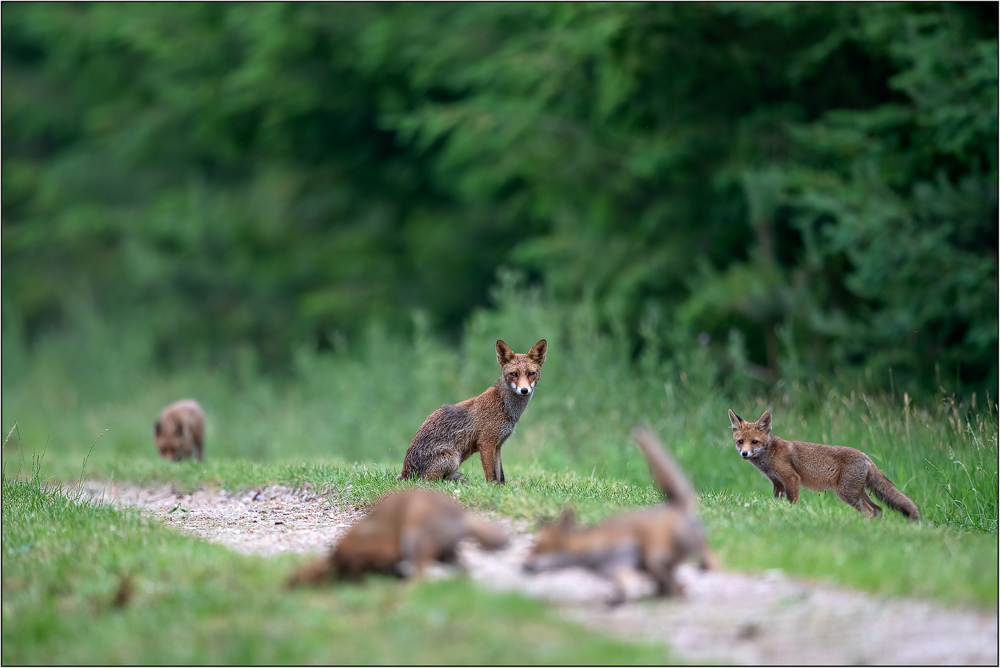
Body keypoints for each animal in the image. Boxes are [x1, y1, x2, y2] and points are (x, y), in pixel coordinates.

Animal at [288, 488, 508, 588]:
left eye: (293, 581)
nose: (283, 589)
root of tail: (461, 515)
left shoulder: (374, 555)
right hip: (445, 554)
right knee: (464, 571)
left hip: (415, 541)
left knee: (420, 578)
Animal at [396, 340, 548, 486]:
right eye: (513, 374)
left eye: (531, 374)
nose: (524, 390)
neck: (504, 405)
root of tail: (405, 474)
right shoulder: (486, 443)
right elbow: (491, 475)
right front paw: (490, 489)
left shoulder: (498, 445)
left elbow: (501, 476)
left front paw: (502, 490)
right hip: (453, 459)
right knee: (429, 481)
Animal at [520, 428, 716, 604]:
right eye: (533, 548)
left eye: (539, 549)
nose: (524, 565)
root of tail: (674, 505)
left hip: (667, 549)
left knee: (705, 556)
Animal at [732, 408, 916, 520]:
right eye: (740, 441)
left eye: (754, 442)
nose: (744, 453)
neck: (770, 453)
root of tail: (866, 457)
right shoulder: (777, 483)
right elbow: (778, 501)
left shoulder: (791, 478)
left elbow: (792, 502)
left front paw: (791, 515)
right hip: (857, 492)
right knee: (878, 509)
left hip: (847, 493)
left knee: (870, 511)